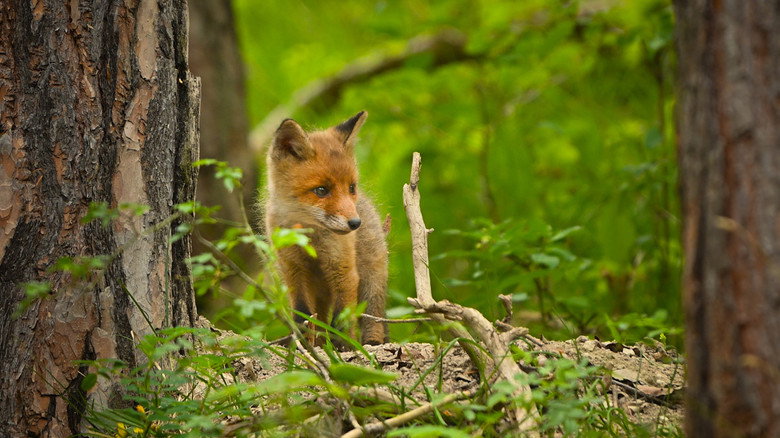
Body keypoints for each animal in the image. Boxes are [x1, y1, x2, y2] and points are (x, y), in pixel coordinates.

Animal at [264, 111, 388, 345]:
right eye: (321, 190)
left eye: (351, 188)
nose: (355, 223)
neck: (311, 238)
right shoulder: (293, 268)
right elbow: (302, 315)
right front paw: (305, 345)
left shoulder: (343, 268)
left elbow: (341, 318)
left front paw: (343, 347)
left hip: (371, 279)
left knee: (375, 315)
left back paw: (373, 343)